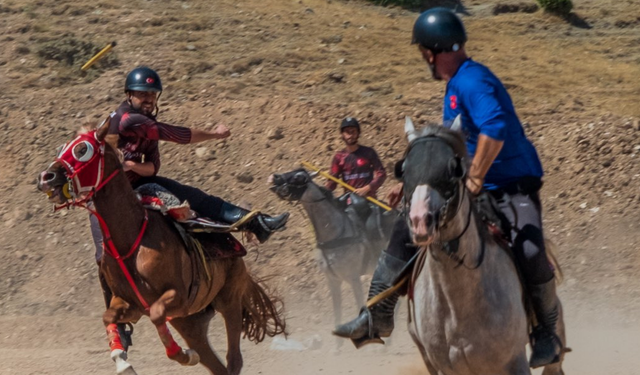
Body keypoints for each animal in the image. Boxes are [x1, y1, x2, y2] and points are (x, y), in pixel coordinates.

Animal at [36, 120, 284, 375]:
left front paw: (184, 355)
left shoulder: (177, 295)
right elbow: (109, 316)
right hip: (190, 322)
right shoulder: (131, 304)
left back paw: (265, 223)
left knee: (234, 360)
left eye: (81, 150)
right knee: (217, 364)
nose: (46, 177)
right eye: (61, 148)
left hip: (230, 300)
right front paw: (124, 360)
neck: (131, 240)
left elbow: (156, 315)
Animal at [268, 169, 396, 340]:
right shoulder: (332, 280)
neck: (335, 234)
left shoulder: (354, 278)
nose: (275, 177)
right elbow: (337, 313)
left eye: (298, 177)